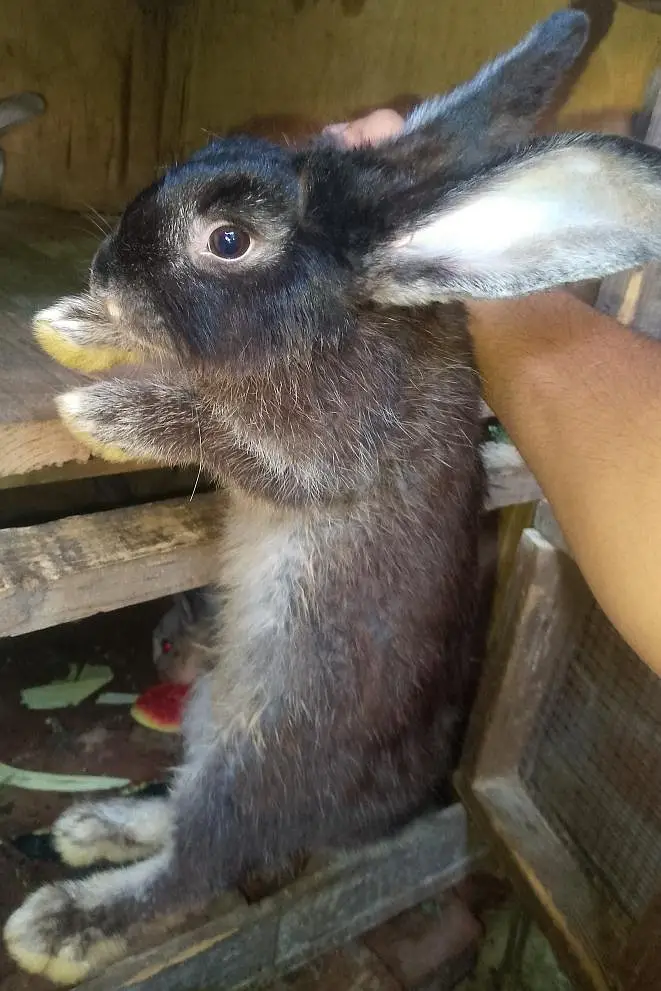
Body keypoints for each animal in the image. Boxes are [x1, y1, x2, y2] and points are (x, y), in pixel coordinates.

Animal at [6, 9, 661, 984]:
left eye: (228, 241)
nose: (103, 270)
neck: (342, 314)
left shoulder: (320, 450)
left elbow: (220, 431)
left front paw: (105, 407)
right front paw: (76, 324)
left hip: (249, 764)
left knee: (200, 865)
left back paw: (62, 921)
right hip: (208, 712)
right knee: (179, 818)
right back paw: (96, 822)